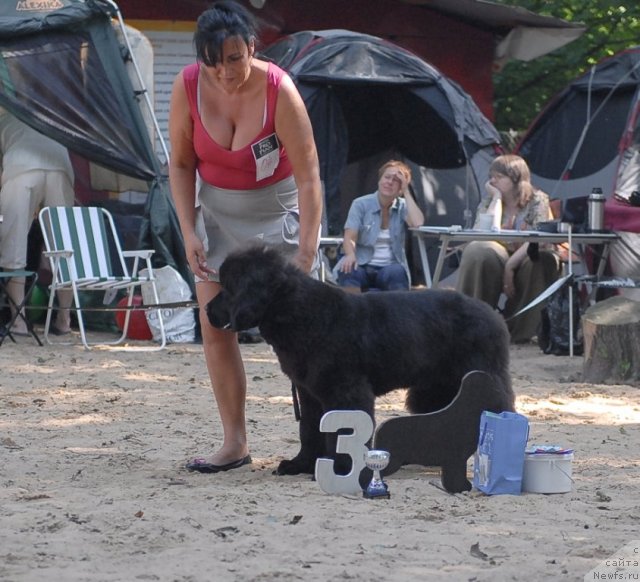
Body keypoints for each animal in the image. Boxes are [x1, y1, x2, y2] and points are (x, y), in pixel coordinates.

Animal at [210, 244, 516, 476]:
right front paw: (300, 465)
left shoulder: (345, 391)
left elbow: (343, 431)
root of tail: (493, 315)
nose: (207, 309)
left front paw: (342, 467)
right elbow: (309, 430)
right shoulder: (310, 394)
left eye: (228, 288)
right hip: (438, 388)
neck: (303, 314)